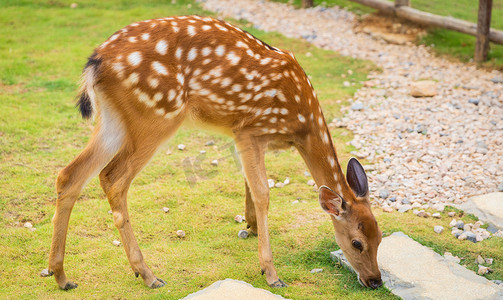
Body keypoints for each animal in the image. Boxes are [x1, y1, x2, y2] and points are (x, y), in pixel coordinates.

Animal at [47, 15, 384, 290]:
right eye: (356, 243)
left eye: (380, 237)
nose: (375, 281)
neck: (301, 124)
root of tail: (96, 62)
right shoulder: (249, 129)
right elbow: (263, 193)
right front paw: (271, 273)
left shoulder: (246, 136)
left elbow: (248, 184)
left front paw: (249, 226)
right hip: (157, 115)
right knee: (113, 179)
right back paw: (148, 275)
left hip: (113, 119)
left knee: (70, 175)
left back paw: (61, 275)